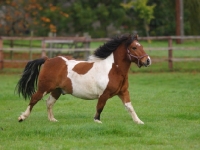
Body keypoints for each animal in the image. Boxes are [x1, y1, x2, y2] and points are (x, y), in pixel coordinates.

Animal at [16, 34, 151, 124]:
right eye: (134, 47)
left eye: (141, 46)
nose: (148, 60)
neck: (113, 70)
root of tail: (48, 59)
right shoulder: (104, 94)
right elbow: (99, 107)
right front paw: (97, 121)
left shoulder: (123, 92)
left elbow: (129, 107)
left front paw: (139, 121)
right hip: (44, 88)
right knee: (34, 98)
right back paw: (22, 117)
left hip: (57, 90)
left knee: (49, 102)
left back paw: (52, 119)